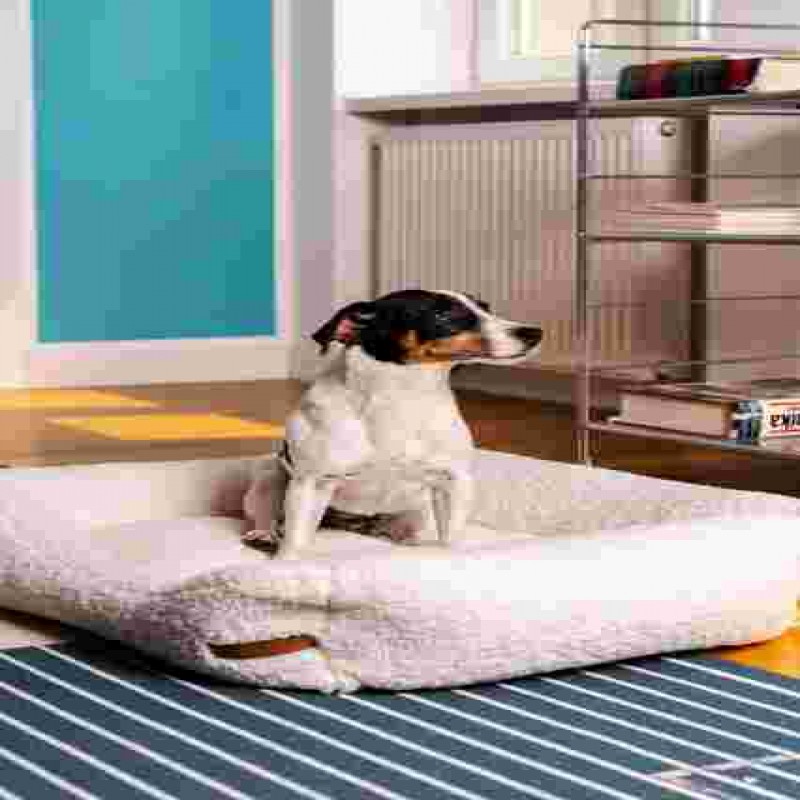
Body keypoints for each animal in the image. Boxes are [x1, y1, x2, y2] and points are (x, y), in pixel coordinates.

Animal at [236, 289, 542, 559]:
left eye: (485, 308)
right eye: (444, 314)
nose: (534, 332)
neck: (402, 397)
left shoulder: (453, 482)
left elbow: (451, 539)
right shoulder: (311, 484)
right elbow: (295, 544)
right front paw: (287, 564)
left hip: (418, 509)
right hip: (269, 478)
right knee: (267, 517)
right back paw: (265, 534)